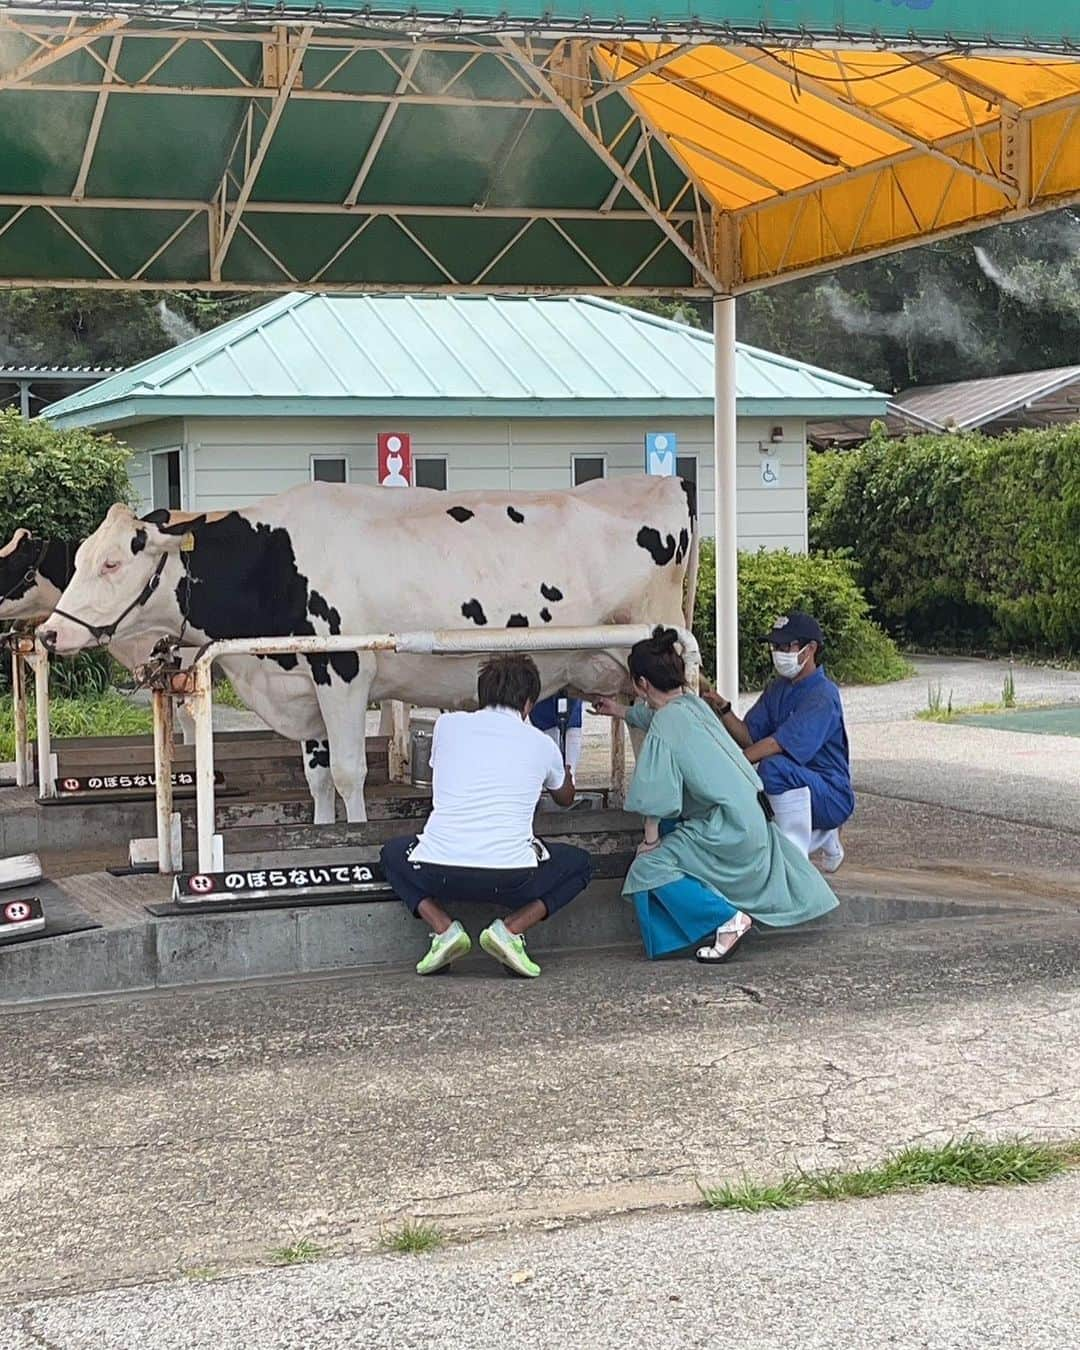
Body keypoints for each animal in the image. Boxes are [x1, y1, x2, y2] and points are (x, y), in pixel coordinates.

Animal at [40, 480, 702, 826]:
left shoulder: (344, 669)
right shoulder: (303, 687)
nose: (49, 634)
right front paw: (323, 831)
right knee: (645, 735)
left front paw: (353, 835)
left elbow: (349, 772)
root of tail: (661, 482)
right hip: (623, 676)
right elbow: (317, 779)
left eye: (111, 562)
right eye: (79, 557)